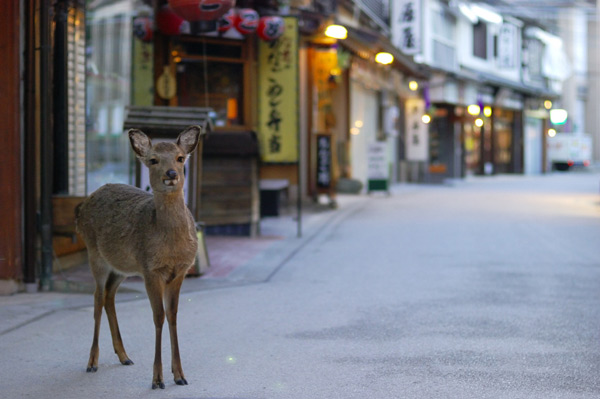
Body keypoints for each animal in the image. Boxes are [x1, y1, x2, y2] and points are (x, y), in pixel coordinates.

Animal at [74, 126, 202, 390]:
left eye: (180, 158)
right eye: (153, 160)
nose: (171, 174)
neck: (171, 247)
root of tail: (81, 207)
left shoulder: (180, 271)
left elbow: (173, 315)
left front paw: (180, 375)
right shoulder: (150, 269)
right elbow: (158, 317)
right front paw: (157, 379)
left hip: (122, 267)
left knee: (109, 296)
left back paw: (124, 356)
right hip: (95, 254)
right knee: (97, 297)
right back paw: (92, 362)